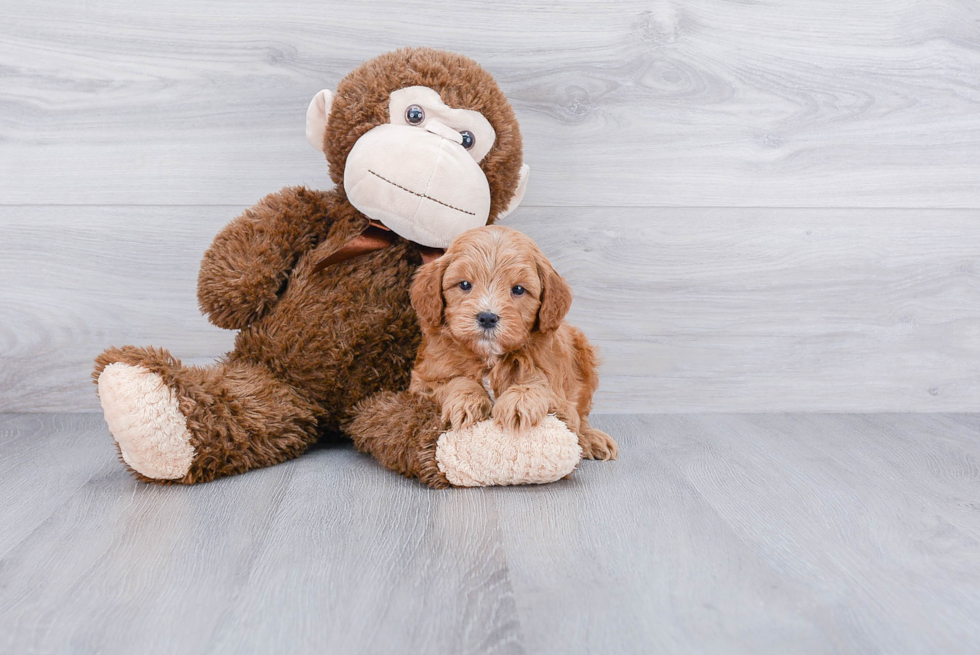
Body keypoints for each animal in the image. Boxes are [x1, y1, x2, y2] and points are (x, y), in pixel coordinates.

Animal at [410, 226, 616, 462]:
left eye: (518, 289)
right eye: (464, 284)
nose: (487, 317)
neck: (490, 358)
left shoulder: (563, 403)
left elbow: (539, 387)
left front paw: (518, 402)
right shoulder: (422, 384)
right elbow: (456, 381)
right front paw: (467, 401)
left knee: (582, 419)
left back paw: (592, 438)